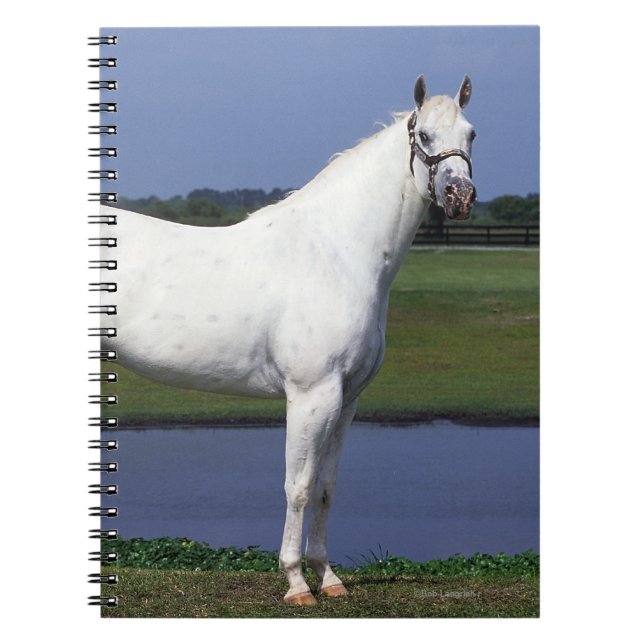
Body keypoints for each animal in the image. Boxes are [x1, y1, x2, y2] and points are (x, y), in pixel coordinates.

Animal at [98, 74, 477, 605]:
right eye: (423, 134)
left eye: (471, 134)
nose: (461, 195)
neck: (337, 252)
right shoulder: (310, 395)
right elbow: (297, 485)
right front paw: (297, 582)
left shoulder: (347, 399)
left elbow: (327, 486)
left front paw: (329, 577)